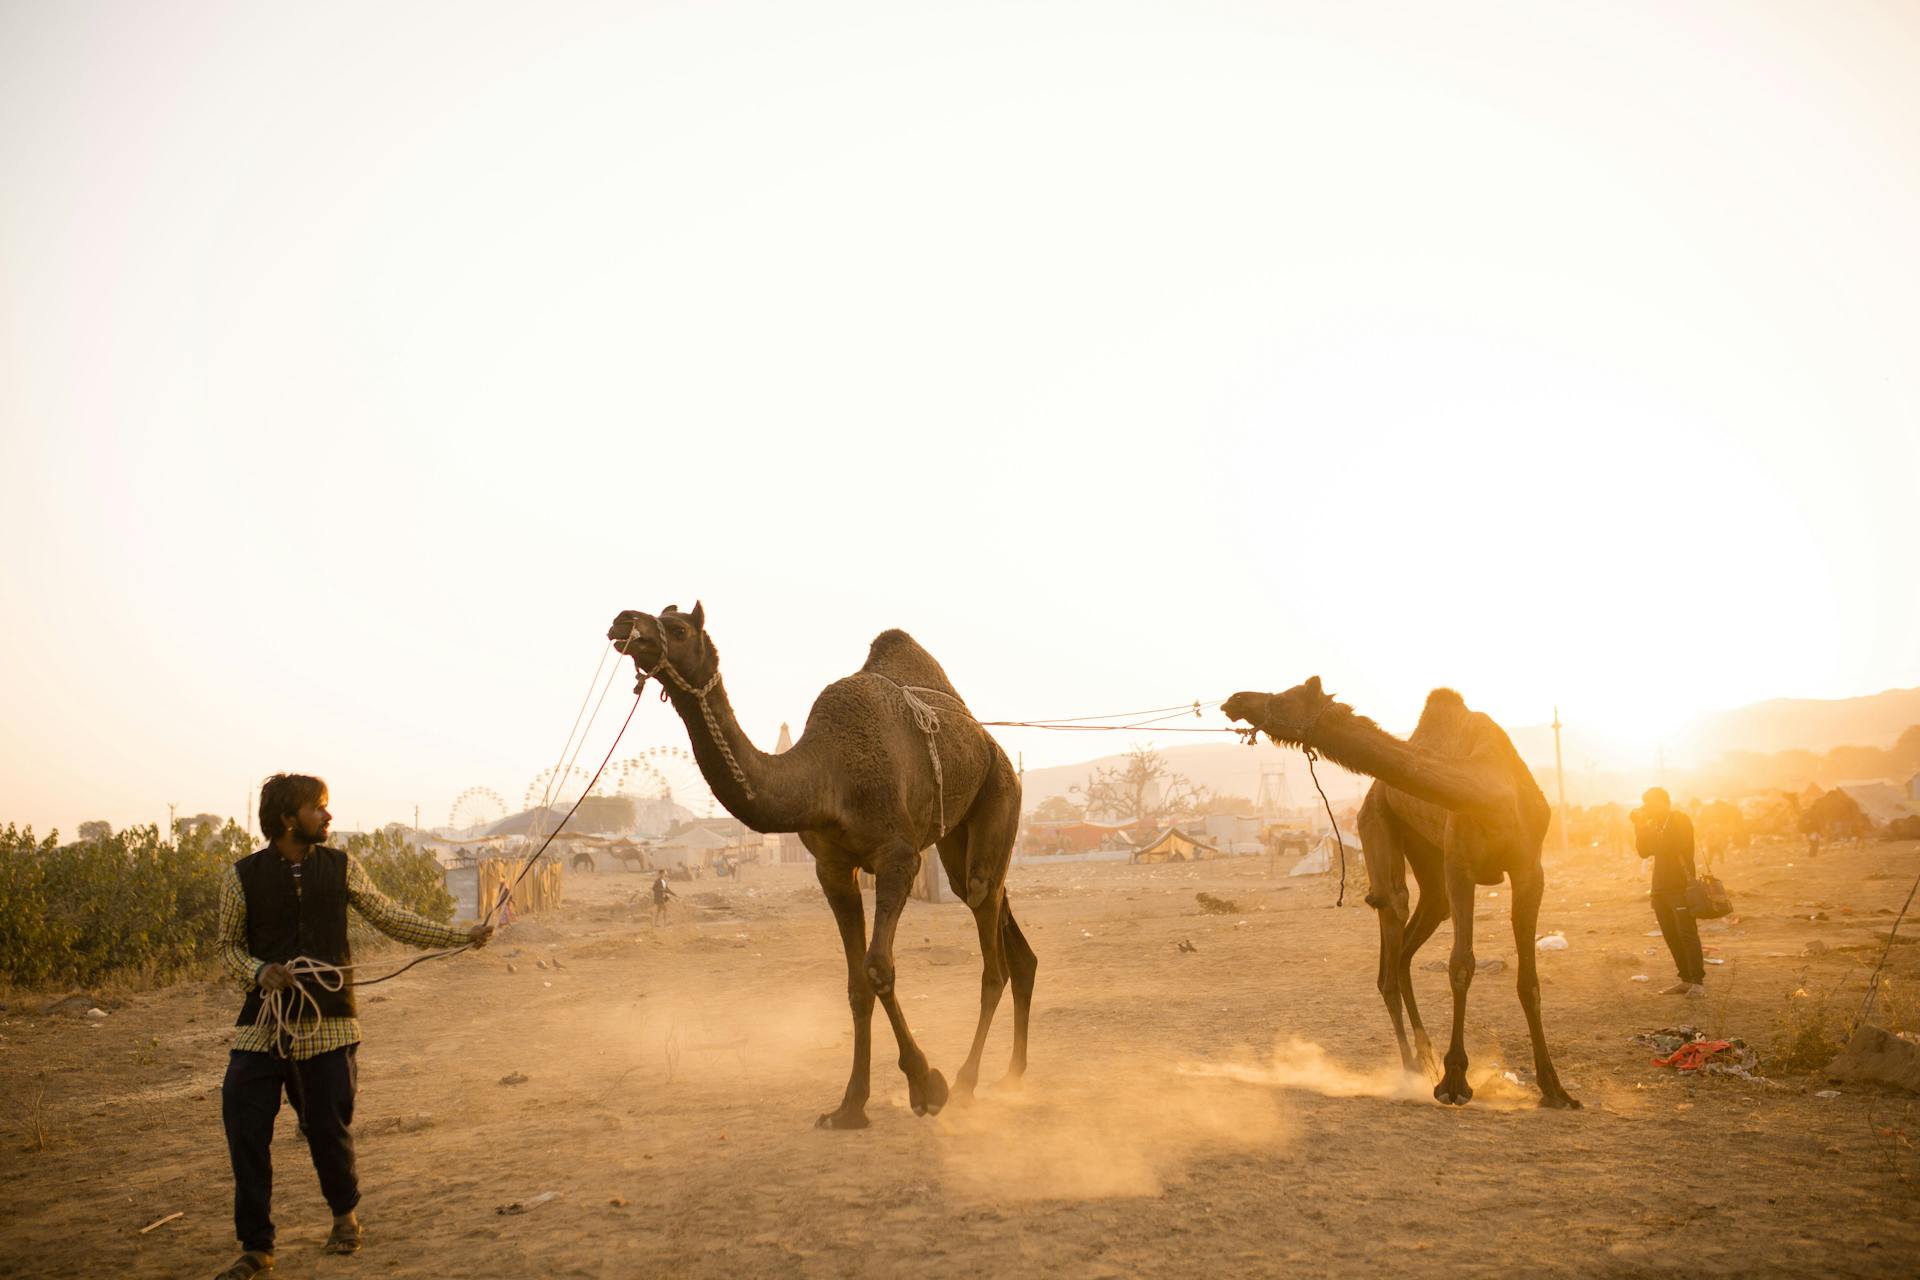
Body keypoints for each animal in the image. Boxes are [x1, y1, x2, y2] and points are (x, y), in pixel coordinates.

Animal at [610, 606, 1036, 1128]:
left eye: (678, 628)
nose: (622, 622)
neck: (824, 776)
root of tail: (989, 742)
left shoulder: (898, 857)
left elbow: (878, 968)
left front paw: (925, 1086)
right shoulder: (832, 868)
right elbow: (855, 982)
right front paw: (850, 1106)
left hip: (1001, 791)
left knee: (989, 943)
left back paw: (966, 1082)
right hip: (958, 835)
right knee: (996, 916)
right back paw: (1012, 1073)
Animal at [1221, 679, 1582, 1113]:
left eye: (1286, 696)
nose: (1235, 700)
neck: (1492, 792)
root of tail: (1373, 795)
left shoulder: (1530, 868)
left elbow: (1528, 982)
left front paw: (1555, 1088)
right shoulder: (1460, 862)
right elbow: (1461, 964)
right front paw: (1454, 1082)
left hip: (1428, 865)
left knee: (1407, 947)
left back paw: (1425, 1059)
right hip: (1374, 823)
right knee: (1391, 932)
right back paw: (1412, 1069)